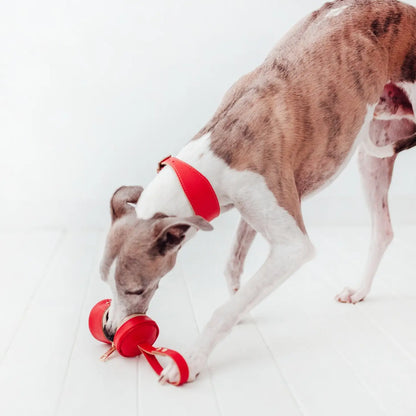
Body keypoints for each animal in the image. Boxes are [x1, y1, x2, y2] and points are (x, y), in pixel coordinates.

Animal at [100, 0, 416, 384]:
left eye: (136, 289)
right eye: (104, 281)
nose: (111, 333)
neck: (215, 152)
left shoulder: (292, 245)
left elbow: (224, 309)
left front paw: (190, 359)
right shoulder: (252, 205)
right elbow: (233, 267)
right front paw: (241, 309)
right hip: (373, 150)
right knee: (383, 230)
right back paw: (360, 290)